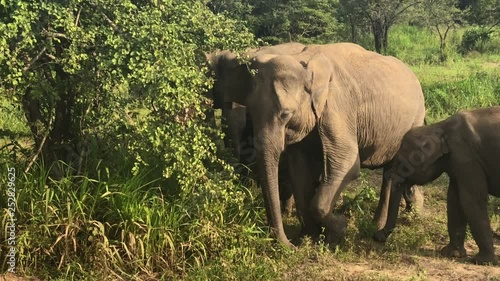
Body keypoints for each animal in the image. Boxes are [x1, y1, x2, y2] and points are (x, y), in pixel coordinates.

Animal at [242, 42, 426, 246]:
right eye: (250, 111)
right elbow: (300, 171)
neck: (306, 61)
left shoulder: (338, 106)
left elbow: (347, 163)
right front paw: (308, 238)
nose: (290, 245)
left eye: (285, 114)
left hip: (415, 120)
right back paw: (381, 223)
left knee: (398, 168)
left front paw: (338, 230)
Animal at [376, 105, 500, 264]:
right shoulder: (456, 162)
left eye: (401, 164)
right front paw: (451, 253)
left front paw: (482, 261)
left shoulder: (465, 156)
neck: (439, 126)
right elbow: (454, 199)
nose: (377, 236)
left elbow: (471, 200)